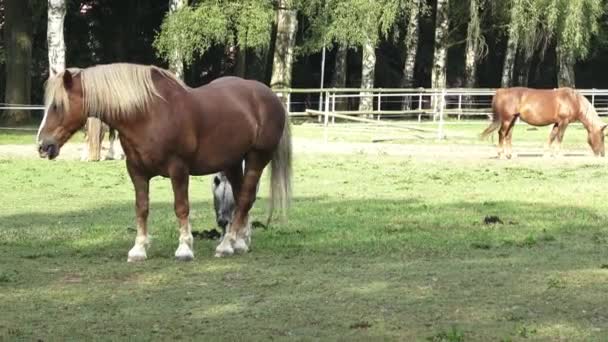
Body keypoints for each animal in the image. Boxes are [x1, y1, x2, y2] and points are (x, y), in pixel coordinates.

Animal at [35, 63, 292, 262]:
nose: (42, 146)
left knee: (245, 198)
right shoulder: (136, 171)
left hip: (257, 157)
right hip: (232, 162)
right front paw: (138, 250)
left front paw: (184, 248)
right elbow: (141, 208)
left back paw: (226, 245)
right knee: (241, 199)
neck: (147, 114)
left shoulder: (178, 169)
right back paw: (239, 243)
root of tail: (270, 97)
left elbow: (181, 207)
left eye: (58, 105)